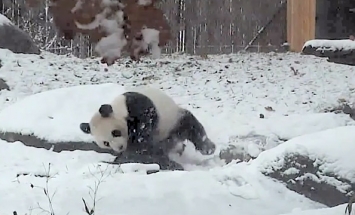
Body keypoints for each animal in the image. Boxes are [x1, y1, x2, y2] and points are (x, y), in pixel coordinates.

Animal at [79, 86, 216, 160]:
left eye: (115, 132)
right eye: (106, 143)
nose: (120, 147)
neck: (118, 108)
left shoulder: (139, 107)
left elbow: (144, 130)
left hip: (172, 119)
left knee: (191, 127)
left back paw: (208, 148)